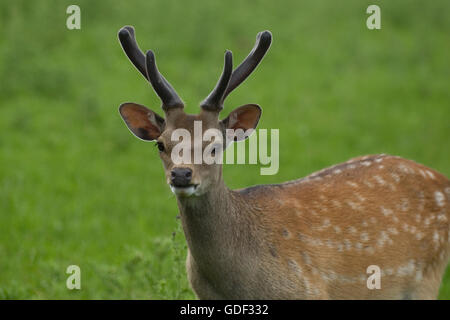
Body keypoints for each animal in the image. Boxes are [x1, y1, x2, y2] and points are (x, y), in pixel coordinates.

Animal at [117, 26, 450, 298]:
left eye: (215, 145)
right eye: (161, 144)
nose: (182, 175)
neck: (236, 285)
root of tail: (441, 178)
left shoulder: (309, 292)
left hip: (427, 277)